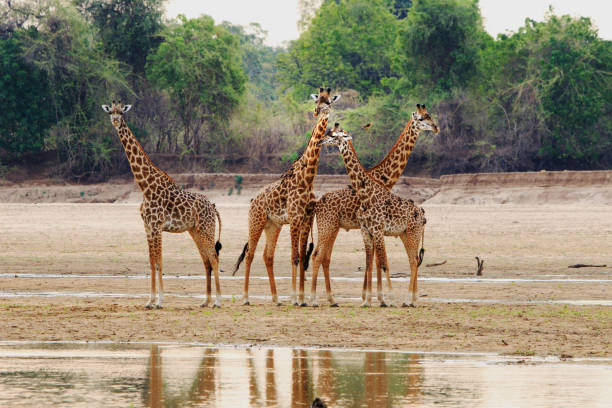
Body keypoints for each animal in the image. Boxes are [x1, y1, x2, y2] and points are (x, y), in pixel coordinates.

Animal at [100, 102, 222, 310]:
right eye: (110, 112)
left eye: (121, 112)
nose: (115, 121)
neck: (145, 186)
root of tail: (213, 206)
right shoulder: (148, 227)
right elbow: (151, 262)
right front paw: (150, 300)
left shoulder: (157, 226)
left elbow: (159, 263)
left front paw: (160, 301)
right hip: (195, 230)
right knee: (206, 260)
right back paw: (205, 301)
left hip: (207, 228)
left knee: (213, 257)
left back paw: (218, 301)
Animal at [233, 89, 342, 306]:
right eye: (317, 101)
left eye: (329, 102)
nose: (318, 112)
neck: (307, 178)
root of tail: (252, 201)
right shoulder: (294, 218)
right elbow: (295, 257)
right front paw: (295, 298)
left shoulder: (307, 218)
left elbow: (301, 255)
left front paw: (301, 297)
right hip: (256, 221)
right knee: (250, 254)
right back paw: (246, 298)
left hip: (272, 225)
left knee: (268, 256)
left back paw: (276, 299)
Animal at [310, 103, 440, 304]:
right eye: (421, 118)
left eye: (429, 116)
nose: (436, 128)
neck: (382, 177)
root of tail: (317, 204)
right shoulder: (370, 229)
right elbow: (376, 262)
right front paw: (374, 298)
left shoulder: (375, 229)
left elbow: (375, 262)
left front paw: (373, 297)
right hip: (328, 226)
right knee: (317, 255)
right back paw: (313, 299)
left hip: (334, 228)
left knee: (324, 257)